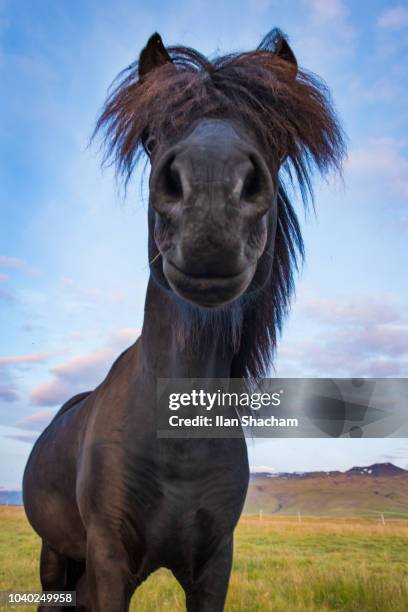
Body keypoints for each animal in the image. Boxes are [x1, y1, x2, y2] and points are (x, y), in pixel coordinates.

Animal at [23, 29, 344, 612]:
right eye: (150, 138)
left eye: (280, 139)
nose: (212, 194)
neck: (179, 442)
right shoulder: (109, 563)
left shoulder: (213, 565)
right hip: (54, 556)